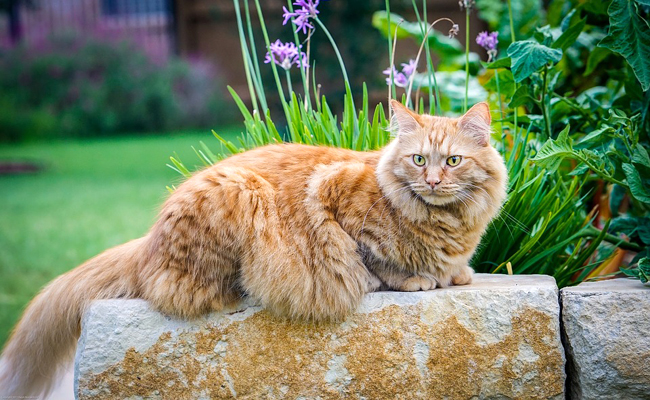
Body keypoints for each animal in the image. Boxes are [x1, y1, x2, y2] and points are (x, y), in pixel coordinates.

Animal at [0, 101, 506, 396]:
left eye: (453, 161)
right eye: (419, 160)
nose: (433, 181)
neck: (443, 222)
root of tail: (146, 244)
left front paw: (456, 273)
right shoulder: (335, 204)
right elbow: (374, 260)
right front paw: (416, 277)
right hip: (242, 193)